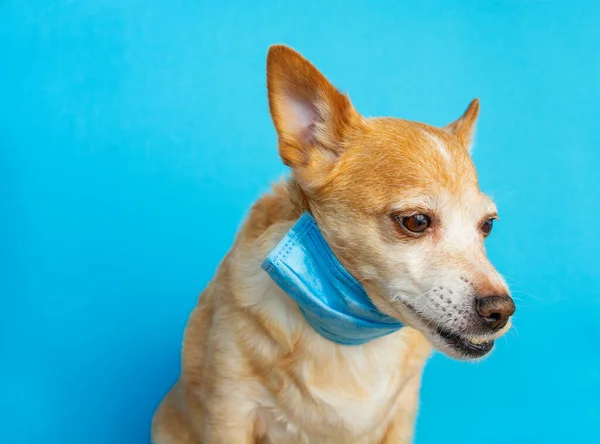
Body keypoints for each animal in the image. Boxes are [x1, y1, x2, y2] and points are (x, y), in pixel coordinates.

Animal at [151, 45, 516, 444]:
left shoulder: (401, 416)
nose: (502, 310)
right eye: (416, 222)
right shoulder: (230, 412)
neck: (352, 336)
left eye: (487, 226)